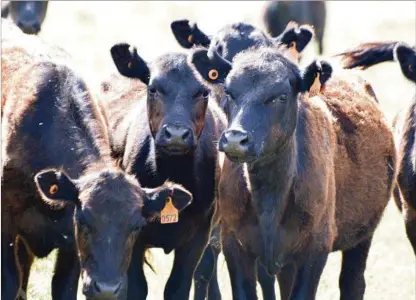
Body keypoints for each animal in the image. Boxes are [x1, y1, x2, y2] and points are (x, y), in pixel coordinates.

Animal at [1, 21, 193, 300]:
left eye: (137, 226)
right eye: (84, 220)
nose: (107, 289)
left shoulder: (70, 247)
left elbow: (62, 287)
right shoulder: (6, 227)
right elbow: (9, 282)